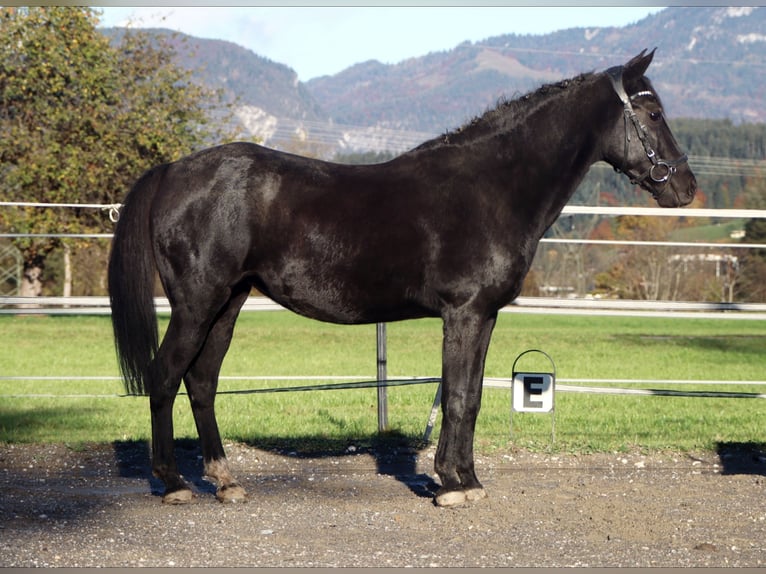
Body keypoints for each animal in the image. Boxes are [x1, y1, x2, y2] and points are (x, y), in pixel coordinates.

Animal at [108, 49, 696, 507]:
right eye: (652, 111)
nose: (686, 186)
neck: (492, 186)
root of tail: (173, 171)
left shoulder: (483, 317)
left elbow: (472, 396)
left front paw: (467, 479)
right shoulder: (464, 313)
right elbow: (457, 396)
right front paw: (451, 486)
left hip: (228, 302)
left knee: (202, 382)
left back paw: (226, 481)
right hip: (197, 303)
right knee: (166, 376)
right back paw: (175, 483)